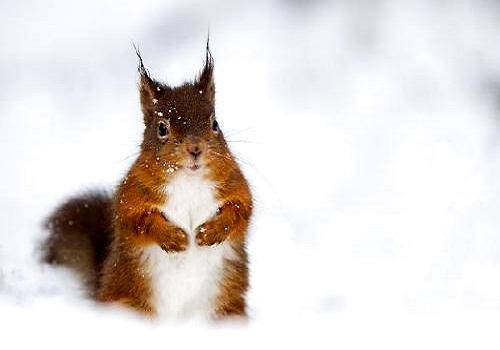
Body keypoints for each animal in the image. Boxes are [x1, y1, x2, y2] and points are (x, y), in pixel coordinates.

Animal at [42, 43, 254, 320]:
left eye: (215, 123)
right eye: (162, 128)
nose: (195, 148)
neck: (189, 180)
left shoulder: (234, 184)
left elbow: (241, 209)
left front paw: (210, 232)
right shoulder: (132, 193)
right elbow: (138, 219)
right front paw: (174, 238)